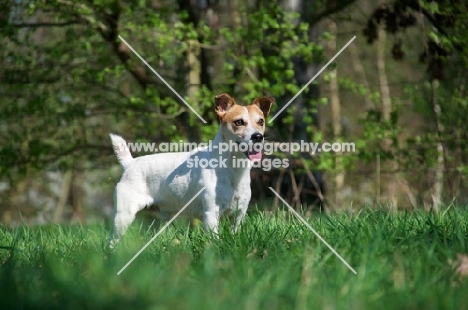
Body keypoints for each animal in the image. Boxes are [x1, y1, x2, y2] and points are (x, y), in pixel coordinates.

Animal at [108, 93, 272, 246]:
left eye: (261, 121)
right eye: (238, 122)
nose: (258, 136)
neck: (233, 168)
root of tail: (130, 163)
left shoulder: (239, 215)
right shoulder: (211, 213)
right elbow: (214, 238)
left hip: (153, 220)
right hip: (124, 216)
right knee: (112, 241)